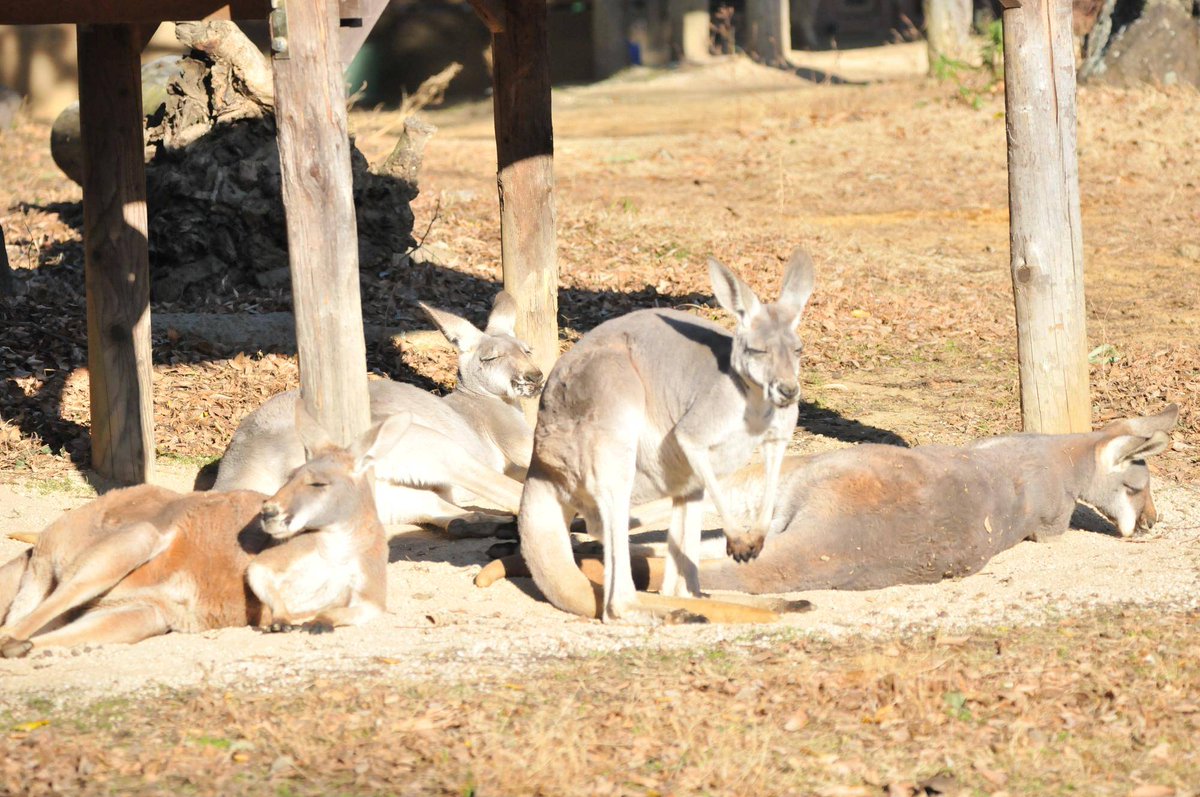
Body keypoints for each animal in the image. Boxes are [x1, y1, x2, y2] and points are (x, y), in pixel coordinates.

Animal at [0, 401, 412, 658]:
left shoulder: (369, 587)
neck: (338, 545)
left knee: (42, 631)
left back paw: (54, 649)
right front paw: (284, 620)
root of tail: (42, 546)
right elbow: (261, 576)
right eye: (291, 476)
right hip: (133, 538)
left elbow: (364, 611)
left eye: (318, 484)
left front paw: (317, 622)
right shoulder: (276, 559)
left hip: (140, 614)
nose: (268, 511)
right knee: (14, 629)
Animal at [213, 291, 540, 535]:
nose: (535, 376)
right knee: (502, 488)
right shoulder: (507, 430)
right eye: (491, 358)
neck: (481, 396)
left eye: (527, 351)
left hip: (387, 495)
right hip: (426, 444)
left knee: (433, 506)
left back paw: (484, 524)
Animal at [514, 248, 816, 623]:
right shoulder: (697, 427)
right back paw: (676, 613)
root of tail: (539, 463)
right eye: (759, 351)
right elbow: (693, 441)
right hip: (610, 413)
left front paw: (754, 540)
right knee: (615, 589)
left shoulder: (779, 434)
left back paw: (712, 601)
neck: (755, 401)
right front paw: (739, 541)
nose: (788, 391)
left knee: (677, 565)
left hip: (678, 475)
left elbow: (774, 469)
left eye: (798, 350)